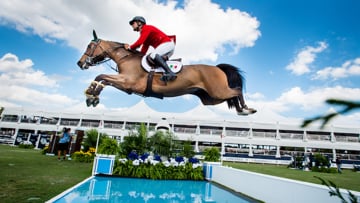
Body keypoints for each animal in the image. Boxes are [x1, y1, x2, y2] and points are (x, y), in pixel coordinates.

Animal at [76, 30, 256, 116]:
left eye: (89, 46)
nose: (80, 63)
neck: (126, 59)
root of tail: (218, 68)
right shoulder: (127, 86)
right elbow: (104, 80)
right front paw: (93, 96)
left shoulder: (128, 81)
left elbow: (101, 76)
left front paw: (91, 93)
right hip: (211, 99)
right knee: (232, 95)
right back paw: (241, 110)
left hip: (218, 92)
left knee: (237, 91)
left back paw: (246, 109)